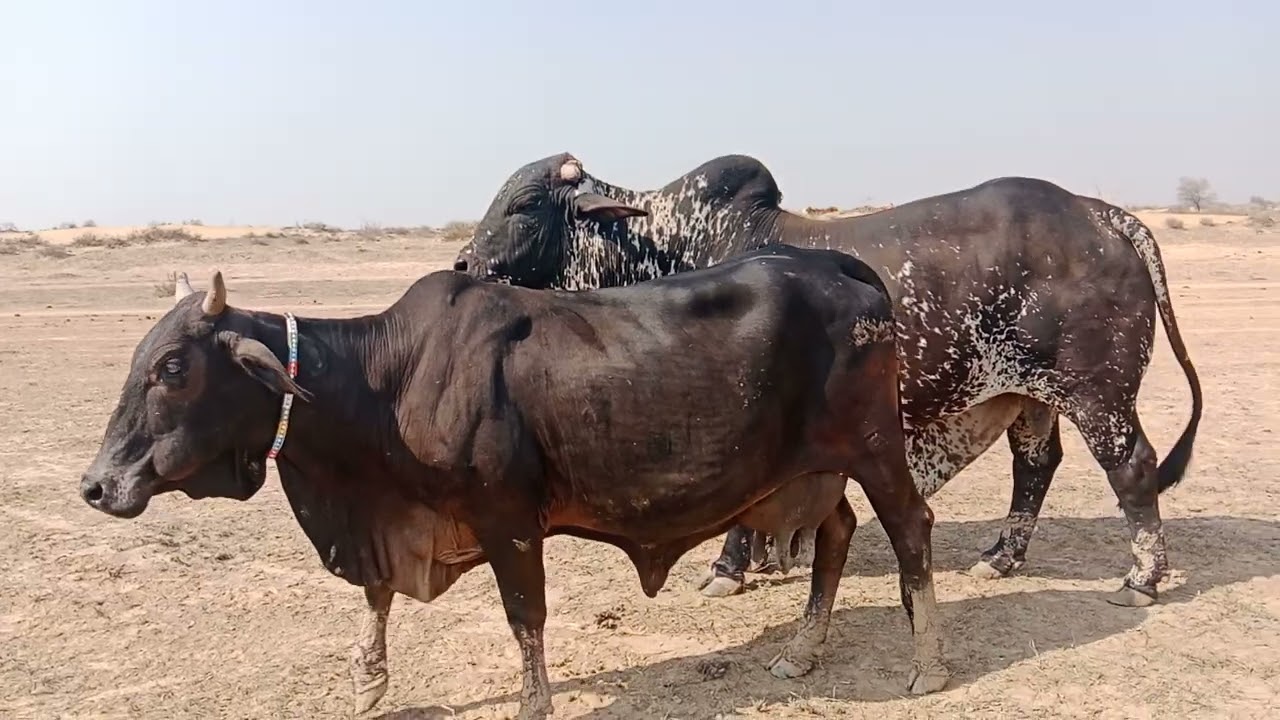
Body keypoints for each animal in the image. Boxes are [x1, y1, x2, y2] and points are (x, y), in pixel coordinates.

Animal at [78, 246, 950, 720]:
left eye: (173, 367)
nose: (95, 486)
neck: (386, 381)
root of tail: (834, 262)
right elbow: (378, 595)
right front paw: (367, 681)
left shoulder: (509, 520)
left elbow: (524, 617)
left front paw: (534, 700)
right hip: (812, 469)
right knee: (836, 534)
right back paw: (802, 652)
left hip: (876, 449)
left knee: (911, 529)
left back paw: (928, 665)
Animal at [452, 152, 1204, 608]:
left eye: (524, 205)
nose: (462, 263)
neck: (667, 243)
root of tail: (1102, 213)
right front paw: (758, 561)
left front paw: (728, 569)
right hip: (1030, 395)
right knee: (1037, 466)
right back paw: (1001, 557)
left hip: (1098, 392)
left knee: (1132, 467)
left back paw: (1142, 577)